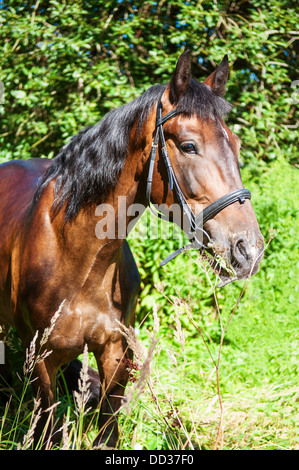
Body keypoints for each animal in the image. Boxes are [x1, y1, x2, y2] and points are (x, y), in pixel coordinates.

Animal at [0, 51, 264, 448]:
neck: (76, 258)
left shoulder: (115, 356)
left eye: (235, 145)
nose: (249, 249)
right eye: (189, 145)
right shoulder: (42, 361)